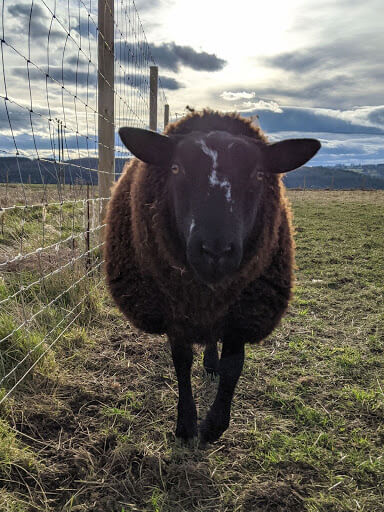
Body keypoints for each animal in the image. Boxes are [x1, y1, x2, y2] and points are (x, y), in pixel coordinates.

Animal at [103, 109, 320, 444]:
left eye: (258, 174)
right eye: (176, 168)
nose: (215, 250)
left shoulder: (242, 315)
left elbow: (234, 367)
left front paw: (214, 427)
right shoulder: (175, 312)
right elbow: (181, 362)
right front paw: (186, 425)